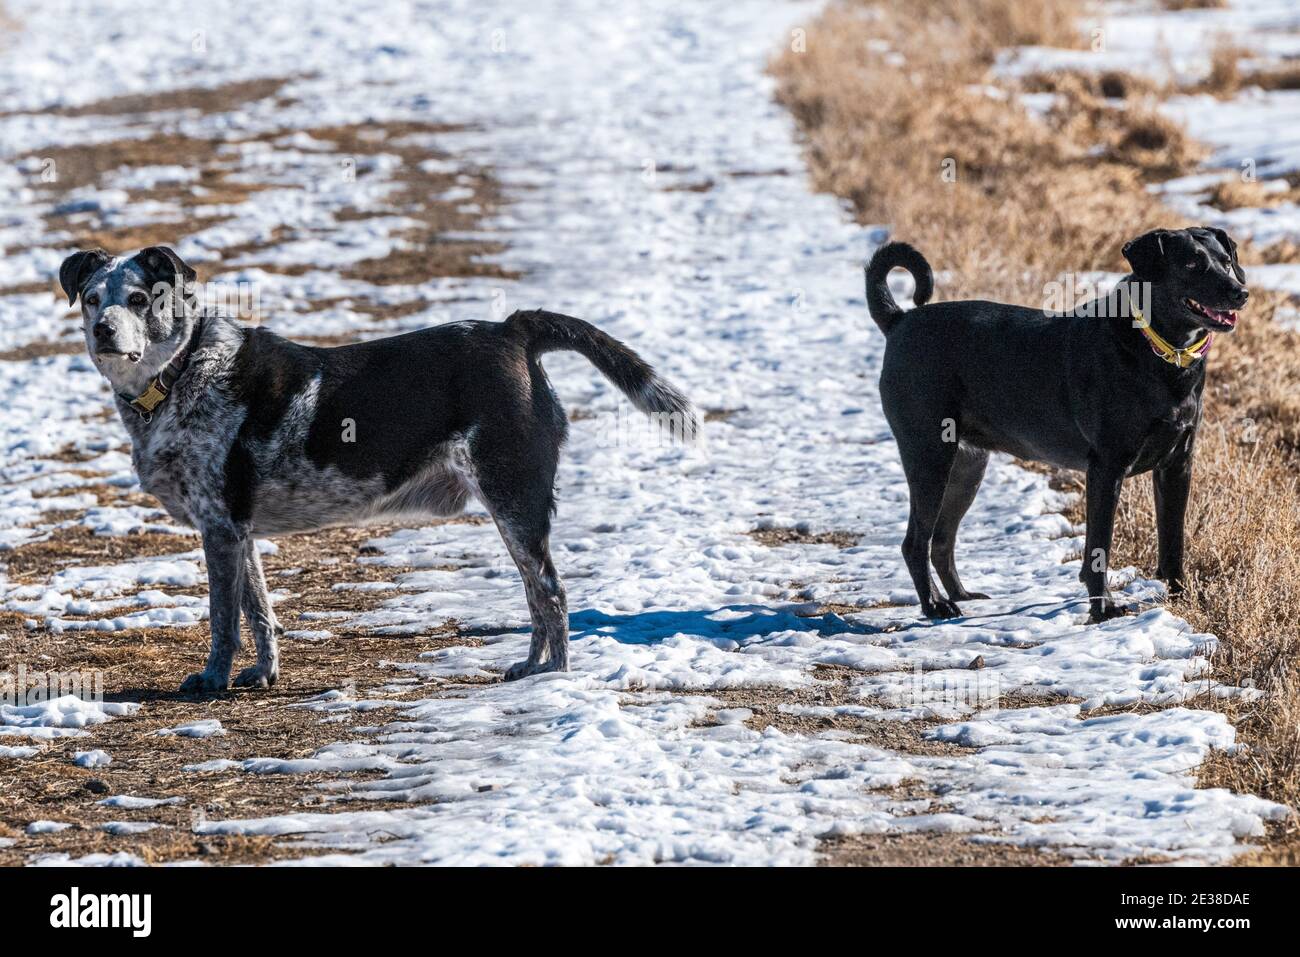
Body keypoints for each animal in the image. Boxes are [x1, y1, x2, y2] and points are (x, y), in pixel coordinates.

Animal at [61, 244, 696, 686]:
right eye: (92, 298)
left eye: (138, 299)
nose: (103, 330)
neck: (180, 372)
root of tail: (513, 329)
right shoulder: (237, 531)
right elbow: (259, 612)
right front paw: (262, 676)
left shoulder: (218, 528)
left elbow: (223, 623)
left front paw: (213, 680)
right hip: (511, 508)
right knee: (537, 596)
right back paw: (532, 667)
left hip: (514, 497)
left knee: (553, 594)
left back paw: (555, 679)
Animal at [863, 228, 1248, 624]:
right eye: (1191, 264)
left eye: (1225, 261)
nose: (1240, 292)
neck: (1160, 351)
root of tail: (900, 320)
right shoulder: (1106, 468)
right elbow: (1099, 546)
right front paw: (1103, 608)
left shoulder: (1177, 465)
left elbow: (1173, 541)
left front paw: (1181, 596)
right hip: (929, 455)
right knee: (915, 541)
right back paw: (935, 605)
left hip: (967, 465)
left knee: (941, 538)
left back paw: (961, 595)